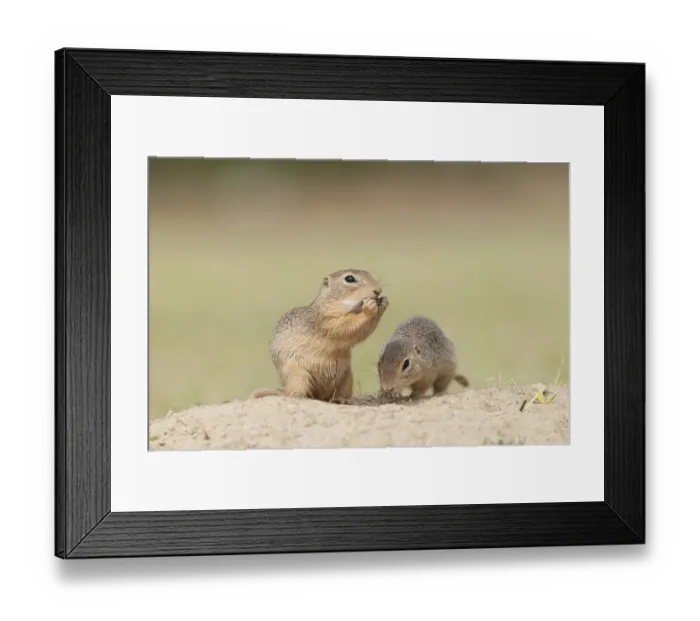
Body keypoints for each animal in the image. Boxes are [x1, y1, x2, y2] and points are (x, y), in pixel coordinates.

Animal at [251, 269, 389, 403]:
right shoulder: (327, 321)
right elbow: (346, 327)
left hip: (347, 379)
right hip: (299, 375)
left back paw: (341, 399)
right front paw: (369, 308)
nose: (378, 290)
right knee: (293, 394)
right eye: (350, 278)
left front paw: (384, 302)